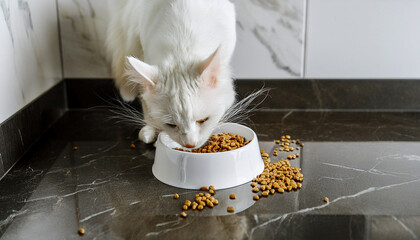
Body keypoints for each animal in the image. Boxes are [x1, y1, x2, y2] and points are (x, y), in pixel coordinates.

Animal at [106, 0, 236, 147]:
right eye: (171, 124)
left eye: (203, 120)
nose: (190, 144)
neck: (182, 47)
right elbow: (146, 105)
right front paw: (152, 132)